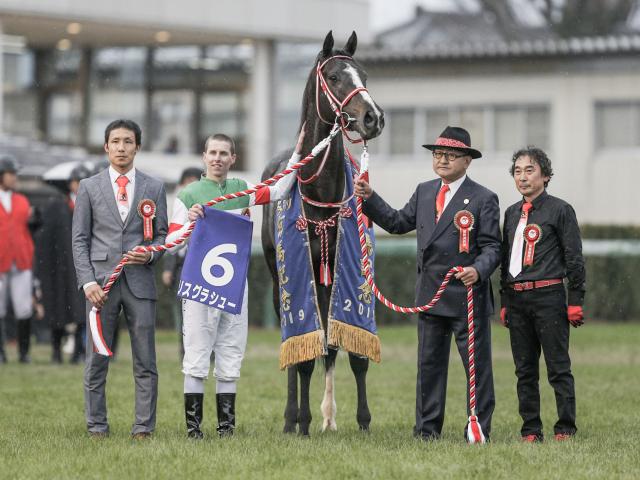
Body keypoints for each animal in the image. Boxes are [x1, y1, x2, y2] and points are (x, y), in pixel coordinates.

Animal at [262, 31, 384, 436]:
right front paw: (299, 421)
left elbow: (351, 351)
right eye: (333, 77)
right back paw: (292, 419)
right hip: (280, 280)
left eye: (364, 74)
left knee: (330, 347)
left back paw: (329, 416)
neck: (321, 194)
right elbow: (304, 356)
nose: (373, 117)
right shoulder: (300, 279)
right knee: (297, 347)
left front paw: (363, 420)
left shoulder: (354, 276)